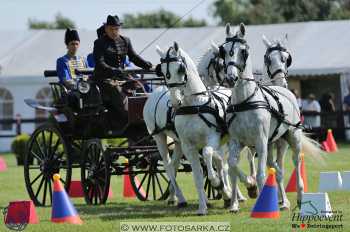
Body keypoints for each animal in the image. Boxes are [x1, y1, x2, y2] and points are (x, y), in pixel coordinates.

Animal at [155, 42, 232, 216]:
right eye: (163, 72)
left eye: (180, 69)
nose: (175, 101)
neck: (194, 105)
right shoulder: (187, 146)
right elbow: (197, 177)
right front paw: (202, 208)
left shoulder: (212, 138)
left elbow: (208, 154)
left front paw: (217, 183)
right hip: (160, 138)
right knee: (170, 165)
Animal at [220, 23, 322, 212]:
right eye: (224, 50)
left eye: (243, 51)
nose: (231, 77)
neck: (245, 100)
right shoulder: (237, 142)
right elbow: (232, 166)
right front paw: (243, 195)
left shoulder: (260, 141)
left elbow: (261, 173)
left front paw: (259, 199)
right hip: (271, 143)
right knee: (275, 168)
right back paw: (281, 200)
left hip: (290, 139)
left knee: (295, 162)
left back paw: (298, 196)